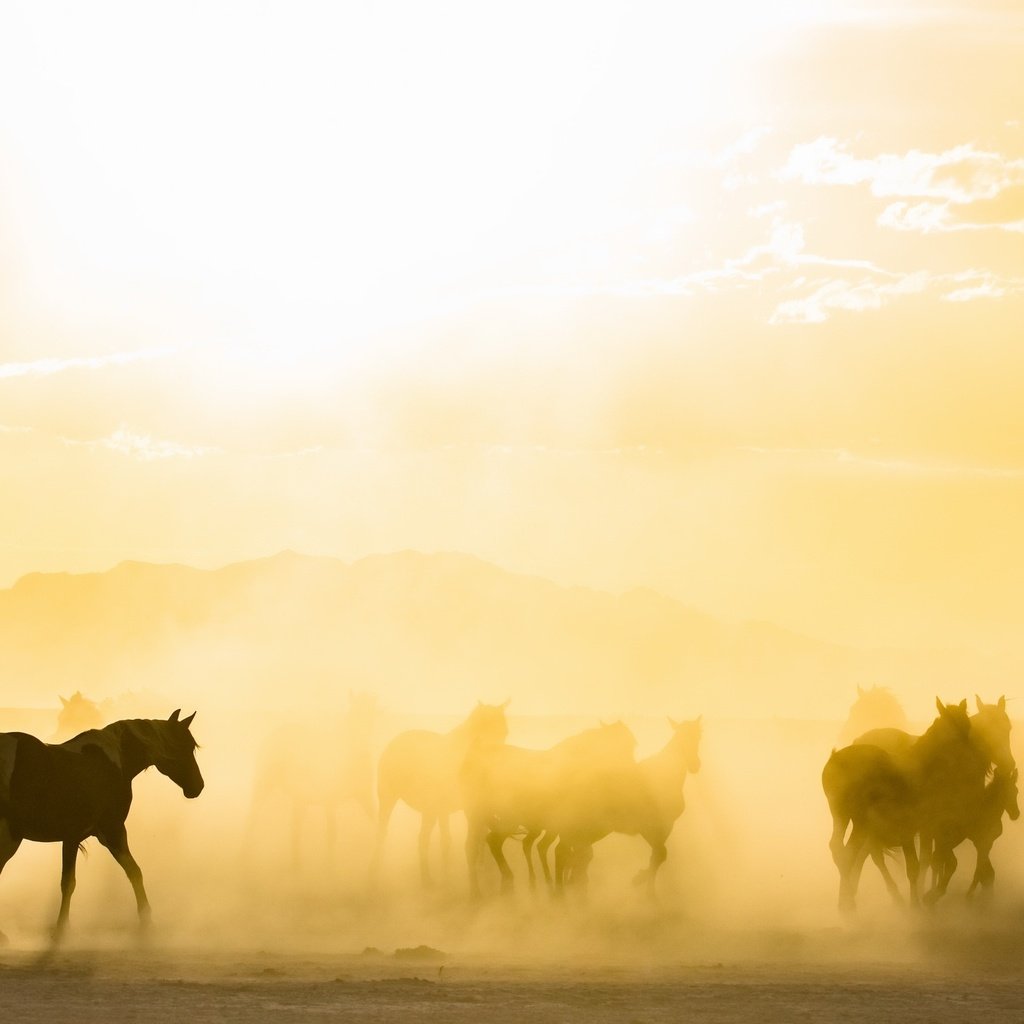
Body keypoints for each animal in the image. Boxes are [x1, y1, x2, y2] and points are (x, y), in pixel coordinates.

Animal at [372, 696, 507, 888]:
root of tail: (394, 742)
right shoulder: (458, 808)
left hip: (431, 810)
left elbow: (456, 841)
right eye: (481, 731)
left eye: (504, 732)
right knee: (388, 835)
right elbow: (463, 841)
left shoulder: (457, 809)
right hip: (390, 799)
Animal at [464, 720, 638, 897]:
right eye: (620, 746)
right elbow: (572, 855)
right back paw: (505, 882)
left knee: (478, 846)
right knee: (490, 842)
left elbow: (574, 855)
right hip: (502, 820)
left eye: (632, 744)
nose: (631, 771)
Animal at [552, 720, 704, 897]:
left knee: (568, 852)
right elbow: (660, 854)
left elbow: (658, 855)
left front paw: (642, 881)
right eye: (682, 738)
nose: (695, 765)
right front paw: (645, 887)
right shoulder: (654, 826)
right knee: (570, 853)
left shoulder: (661, 827)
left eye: (698, 737)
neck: (665, 776)